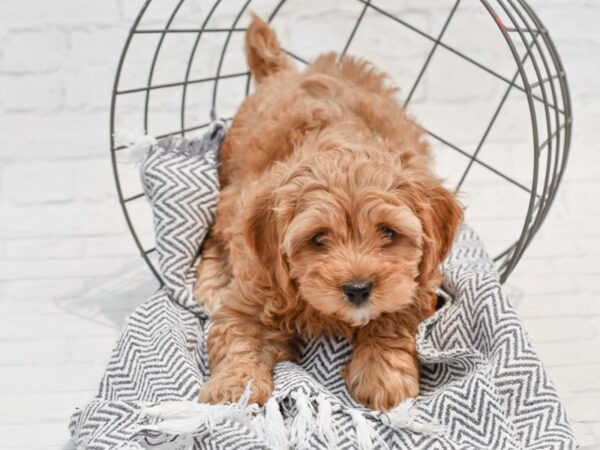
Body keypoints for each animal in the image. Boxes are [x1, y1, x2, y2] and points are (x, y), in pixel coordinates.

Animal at [195, 14, 462, 412]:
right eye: (318, 238)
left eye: (388, 232)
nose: (357, 289)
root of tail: (281, 72)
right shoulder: (252, 289)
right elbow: (238, 336)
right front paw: (235, 387)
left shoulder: (417, 283)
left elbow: (393, 316)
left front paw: (382, 373)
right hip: (229, 189)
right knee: (216, 233)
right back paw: (211, 280)